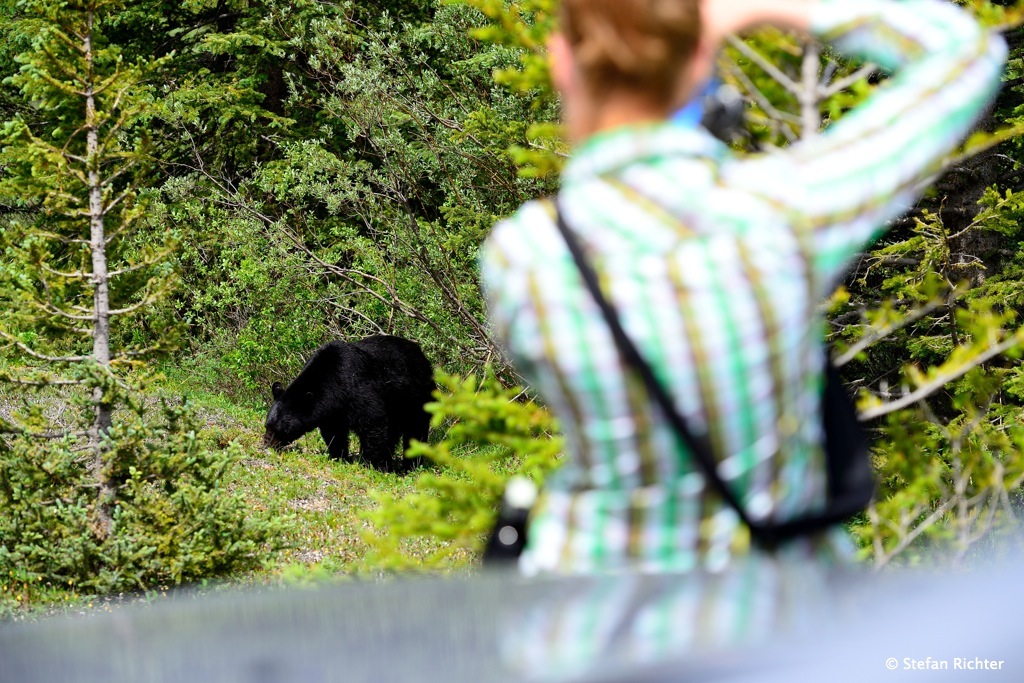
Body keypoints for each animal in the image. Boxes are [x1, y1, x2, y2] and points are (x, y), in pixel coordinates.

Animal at [262, 335, 435, 473]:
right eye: (267, 424)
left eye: (281, 428)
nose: (266, 443)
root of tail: (423, 357)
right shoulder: (331, 411)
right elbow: (334, 433)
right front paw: (340, 457)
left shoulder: (359, 390)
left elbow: (374, 422)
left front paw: (372, 465)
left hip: (417, 399)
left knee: (415, 430)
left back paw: (410, 466)